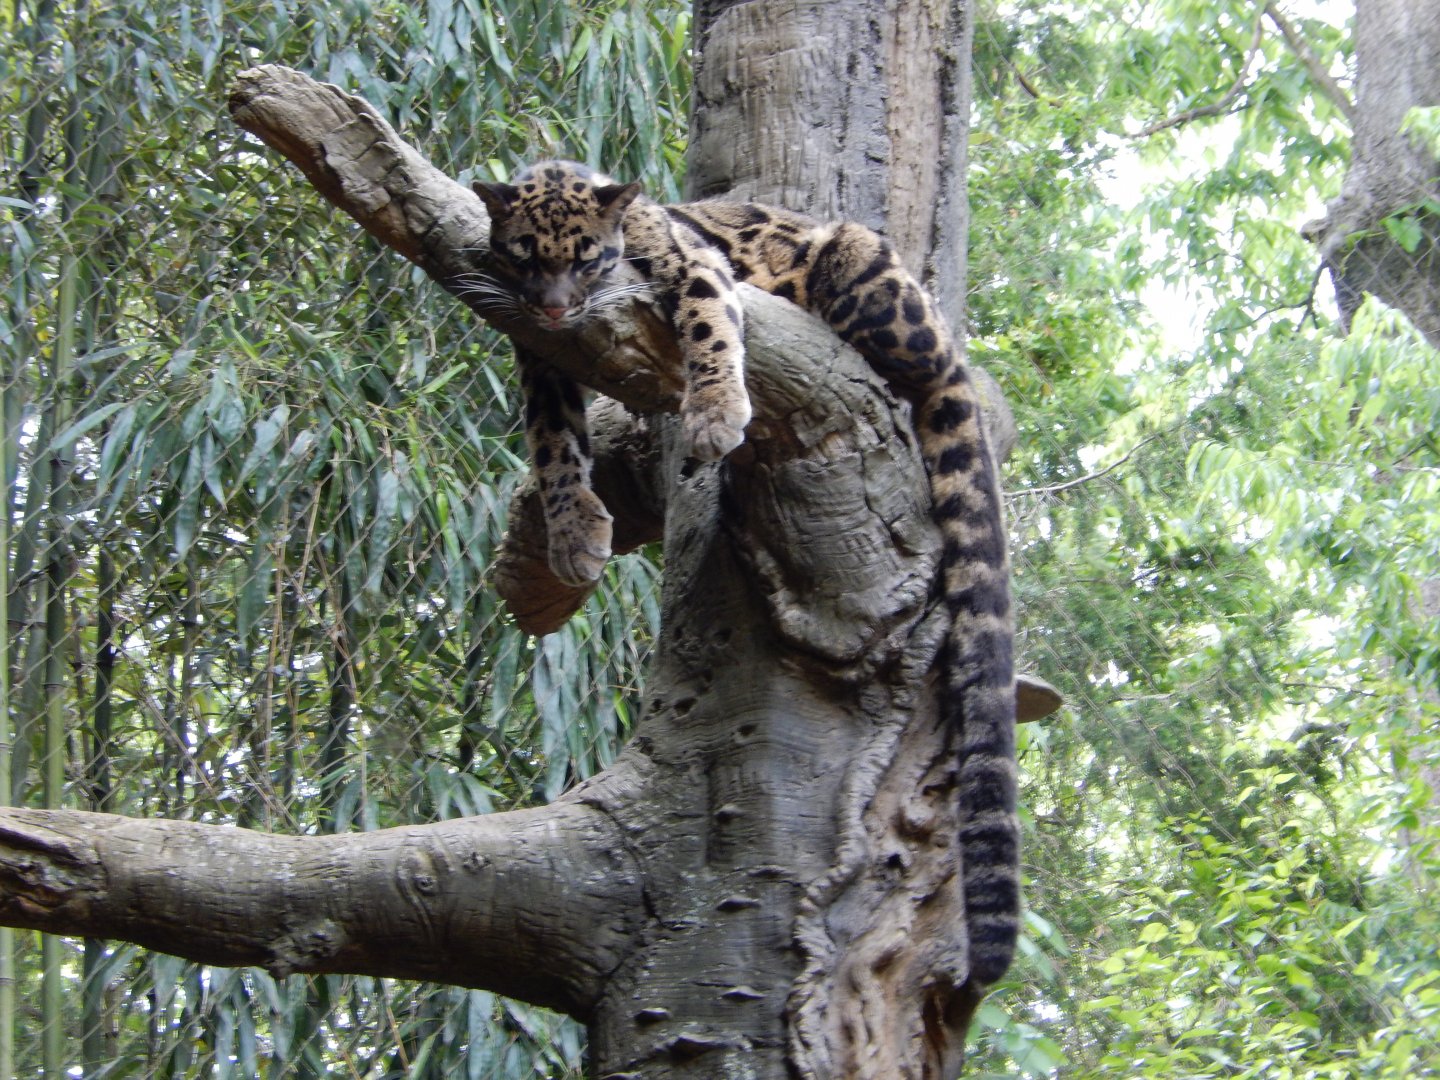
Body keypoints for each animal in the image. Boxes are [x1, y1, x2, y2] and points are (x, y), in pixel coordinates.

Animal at [471, 160, 1018, 986]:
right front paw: (572, 532)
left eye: (590, 258)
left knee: (928, 375)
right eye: (527, 257)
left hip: (859, 270)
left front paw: (716, 412)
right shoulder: (540, 353)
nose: (560, 306)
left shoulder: (694, 265)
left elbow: (707, 327)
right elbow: (553, 444)